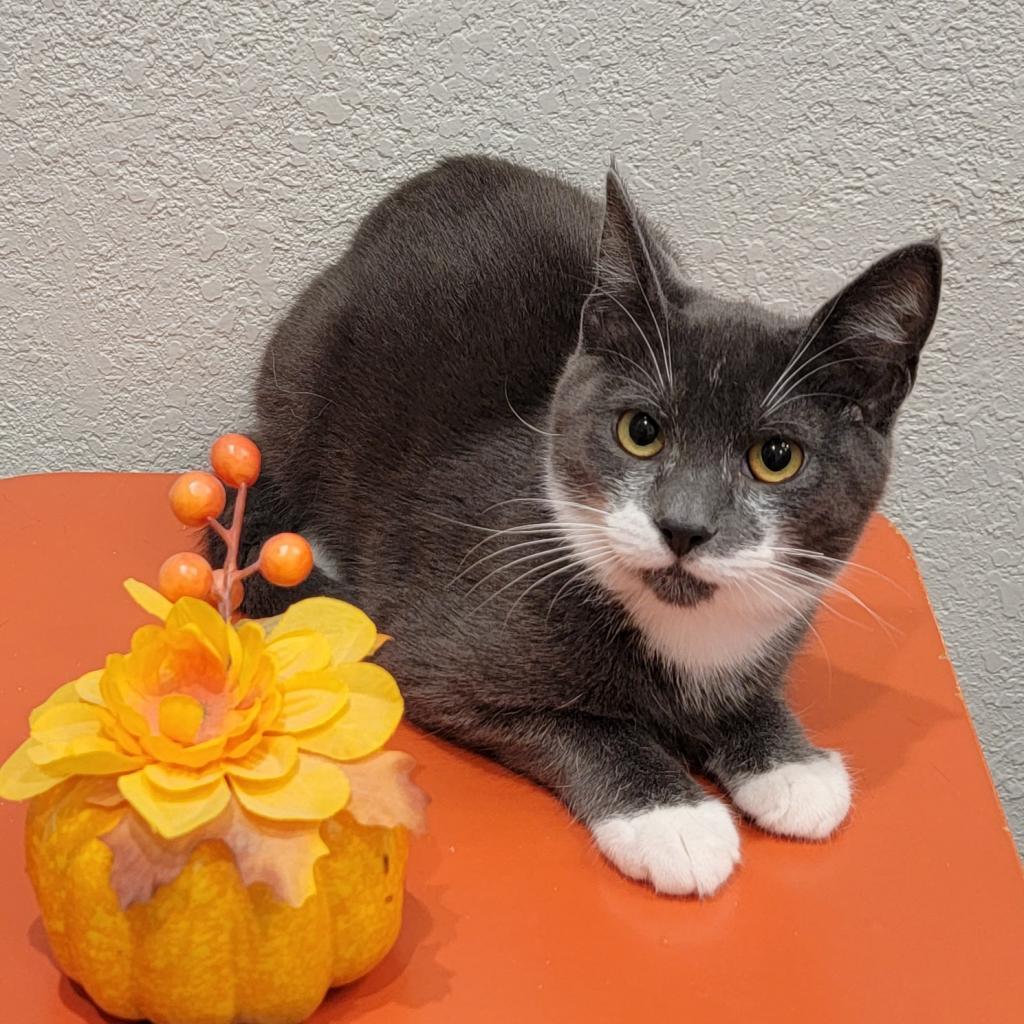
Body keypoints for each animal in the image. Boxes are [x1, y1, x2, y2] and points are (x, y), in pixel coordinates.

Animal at [211, 153, 937, 897]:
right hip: (300, 377)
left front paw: (790, 763)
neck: (679, 626)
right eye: (640, 431)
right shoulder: (436, 648)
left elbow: (750, 694)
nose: (684, 526)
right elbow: (586, 726)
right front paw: (672, 818)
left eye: (777, 457)